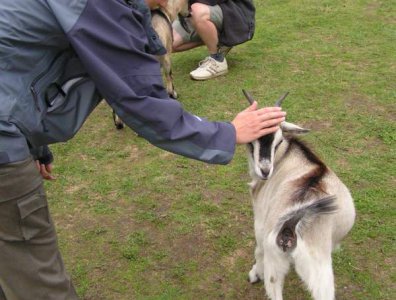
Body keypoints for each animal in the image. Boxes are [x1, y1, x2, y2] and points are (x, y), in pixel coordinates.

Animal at [244, 91, 356, 300]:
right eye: (252, 139)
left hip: (277, 260)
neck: (287, 156)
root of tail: (293, 222)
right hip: (320, 273)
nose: (265, 171)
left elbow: (258, 251)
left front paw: (255, 274)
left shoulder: (260, 222)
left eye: (279, 141)